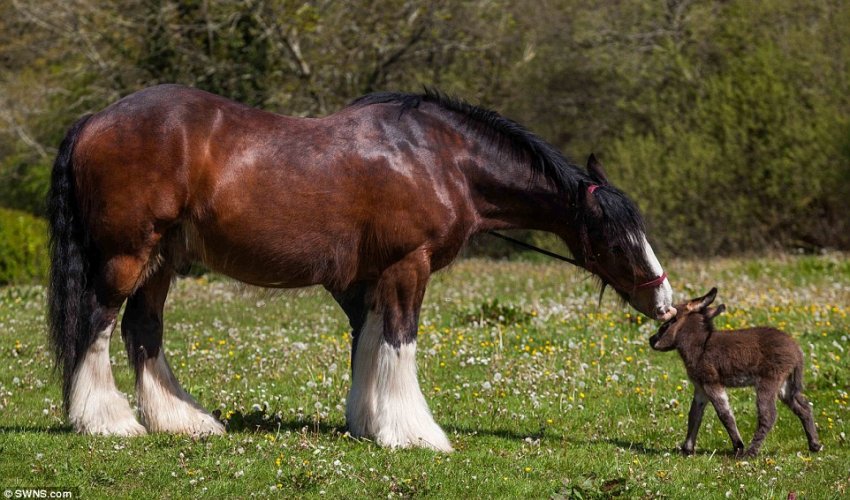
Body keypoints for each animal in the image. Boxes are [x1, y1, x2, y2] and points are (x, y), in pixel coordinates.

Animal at [48, 84, 676, 452]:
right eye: (616, 238)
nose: (665, 303)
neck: (439, 158)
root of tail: (94, 120)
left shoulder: (367, 281)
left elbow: (370, 345)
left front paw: (372, 423)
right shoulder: (407, 266)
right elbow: (399, 342)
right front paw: (415, 432)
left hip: (162, 260)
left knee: (143, 329)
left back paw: (181, 421)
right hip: (127, 255)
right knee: (98, 325)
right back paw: (108, 421)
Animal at [644, 290, 820, 458]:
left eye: (668, 322)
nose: (651, 340)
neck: (700, 345)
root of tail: (796, 349)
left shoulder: (711, 384)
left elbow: (725, 415)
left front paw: (738, 447)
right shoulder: (700, 388)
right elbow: (694, 416)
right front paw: (686, 450)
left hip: (769, 381)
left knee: (768, 415)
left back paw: (750, 453)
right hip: (784, 385)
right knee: (804, 407)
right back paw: (815, 445)